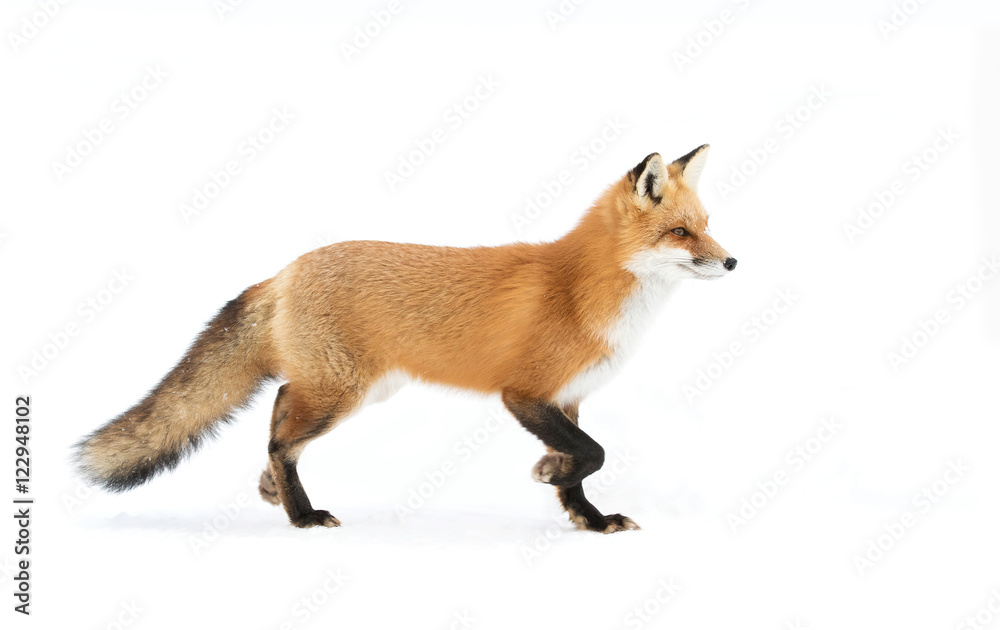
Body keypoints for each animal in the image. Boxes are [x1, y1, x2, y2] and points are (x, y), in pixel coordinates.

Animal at [75, 145, 736, 533]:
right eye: (681, 233)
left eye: (707, 226)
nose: (732, 262)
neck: (582, 290)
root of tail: (286, 270)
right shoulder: (525, 394)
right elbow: (592, 454)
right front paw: (550, 473)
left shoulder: (569, 398)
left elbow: (583, 465)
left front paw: (588, 518)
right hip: (341, 393)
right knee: (282, 434)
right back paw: (301, 514)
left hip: (358, 389)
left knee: (280, 411)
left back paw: (274, 493)